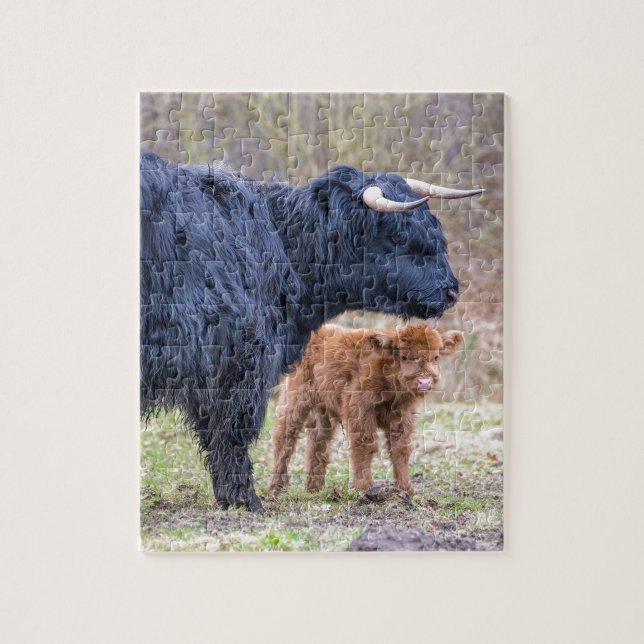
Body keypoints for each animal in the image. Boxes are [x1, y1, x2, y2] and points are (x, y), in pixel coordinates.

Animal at [269, 325, 464, 495]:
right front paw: (364, 487)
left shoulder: (403, 415)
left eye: (436, 356)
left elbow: (400, 449)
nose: (424, 381)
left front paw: (405, 488)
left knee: (318, 442)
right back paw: (276, 485)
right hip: (295, 399)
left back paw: (314, 487)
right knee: (285, 436)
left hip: (323, 410)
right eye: (404, 357)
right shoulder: (360, 409)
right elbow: (365, 445)